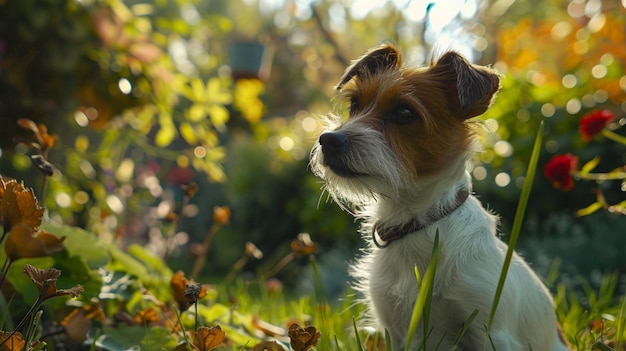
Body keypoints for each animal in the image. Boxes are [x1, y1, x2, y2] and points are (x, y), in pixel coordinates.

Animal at [310, 44, 568, 351]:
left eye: (404, 112)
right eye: (354, 105)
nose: (328, 139)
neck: (416, 222)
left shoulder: (490, 331)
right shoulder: (393, 328)